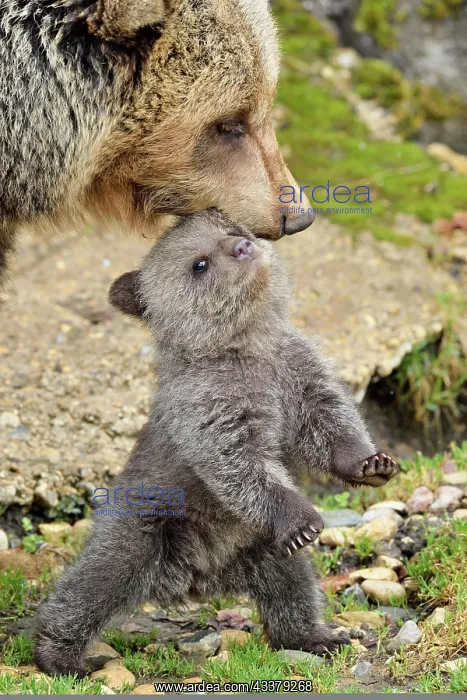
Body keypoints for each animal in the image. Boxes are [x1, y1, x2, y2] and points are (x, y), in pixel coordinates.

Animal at [34, 210, 399, 677]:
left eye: (233, 230)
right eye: (199, 263)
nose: (243, 247)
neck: (246, 344)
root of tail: (196, 580)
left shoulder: (298, 375)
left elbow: (332, 423)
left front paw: (372, 464)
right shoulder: (211, 409)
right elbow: (239, 465)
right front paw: (303, 519)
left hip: (258, 545)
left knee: (292, 584)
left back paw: (315, 636)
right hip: (149, 530)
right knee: (95, 582)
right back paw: (59, 655)